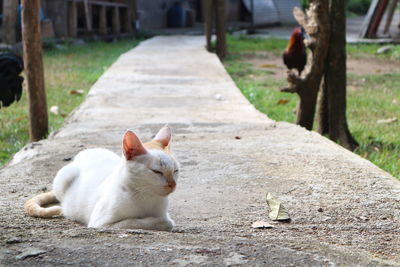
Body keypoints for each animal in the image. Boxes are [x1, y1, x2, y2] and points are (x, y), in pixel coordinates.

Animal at [25, 126, 180, 231]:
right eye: (157, 172)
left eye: (175, 170)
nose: (173, 184)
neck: (146, 196)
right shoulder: (101, 224)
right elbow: (135, 222)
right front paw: (160, 223)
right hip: (64, 176)